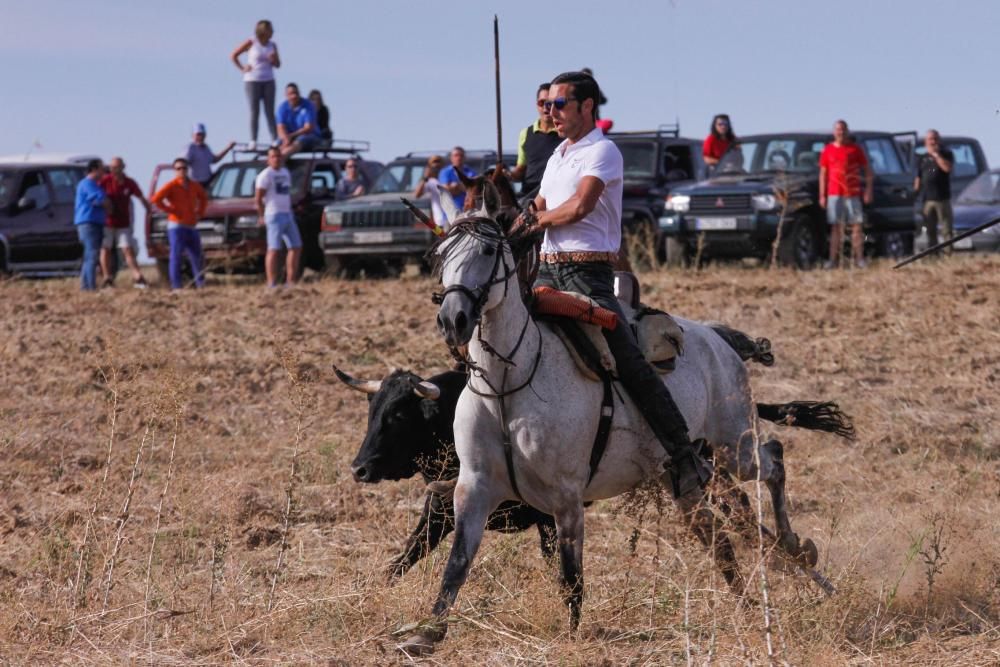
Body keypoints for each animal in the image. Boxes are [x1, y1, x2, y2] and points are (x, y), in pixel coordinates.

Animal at [334, 352, 852, 580]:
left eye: (399, 416)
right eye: (372, 410)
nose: (359, 469)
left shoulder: (550, 514)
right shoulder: (443, 509)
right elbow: (407, 556)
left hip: (727, 456)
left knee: (770, 464)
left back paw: (793, 552)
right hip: (709, 470)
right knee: (742, 506)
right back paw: (787, 555)